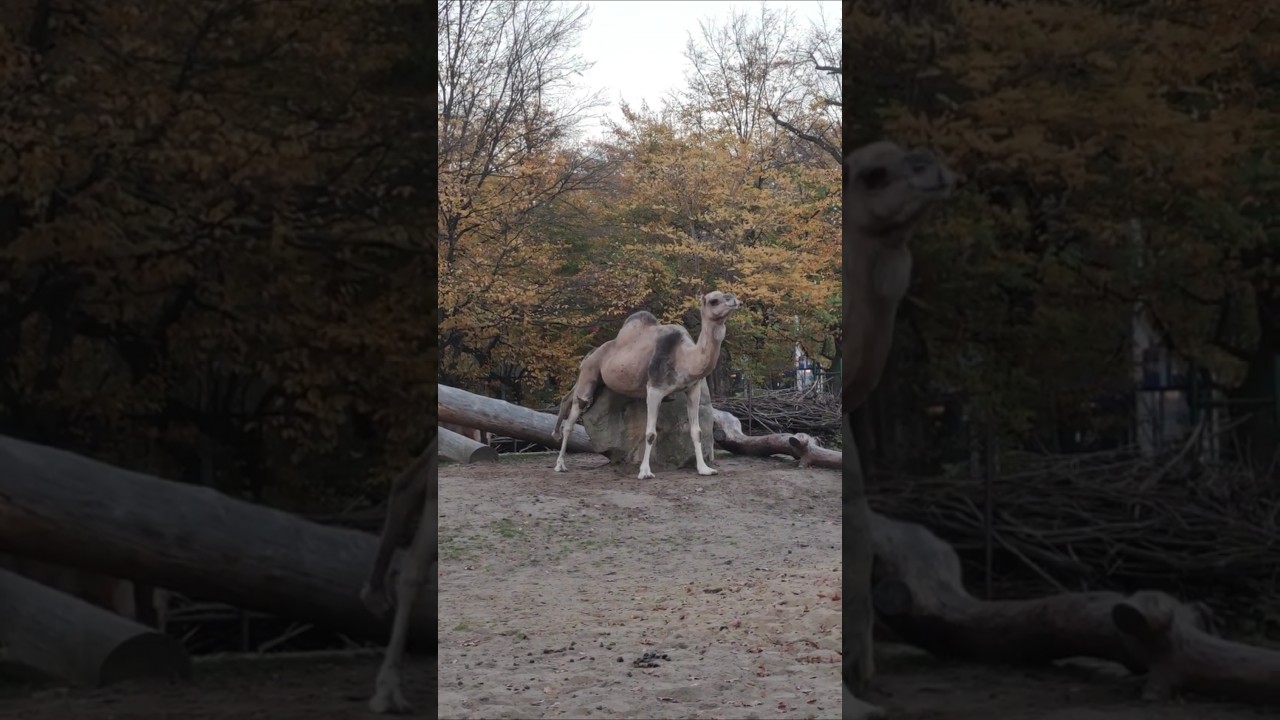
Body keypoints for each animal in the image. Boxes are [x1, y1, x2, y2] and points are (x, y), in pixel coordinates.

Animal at [551, 290, 741, 479]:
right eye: (714, 300)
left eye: (726, 294)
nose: (734, 300)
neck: (684, 358)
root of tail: (590, 354)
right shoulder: (654, 389)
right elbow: (650, 433)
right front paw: (645, 471)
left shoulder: (693, 389)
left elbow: (697, 431)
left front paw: (704, 469)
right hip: (589, 372)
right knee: (574, 414)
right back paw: (560, 464)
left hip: (595, 380)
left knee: (568, 399)